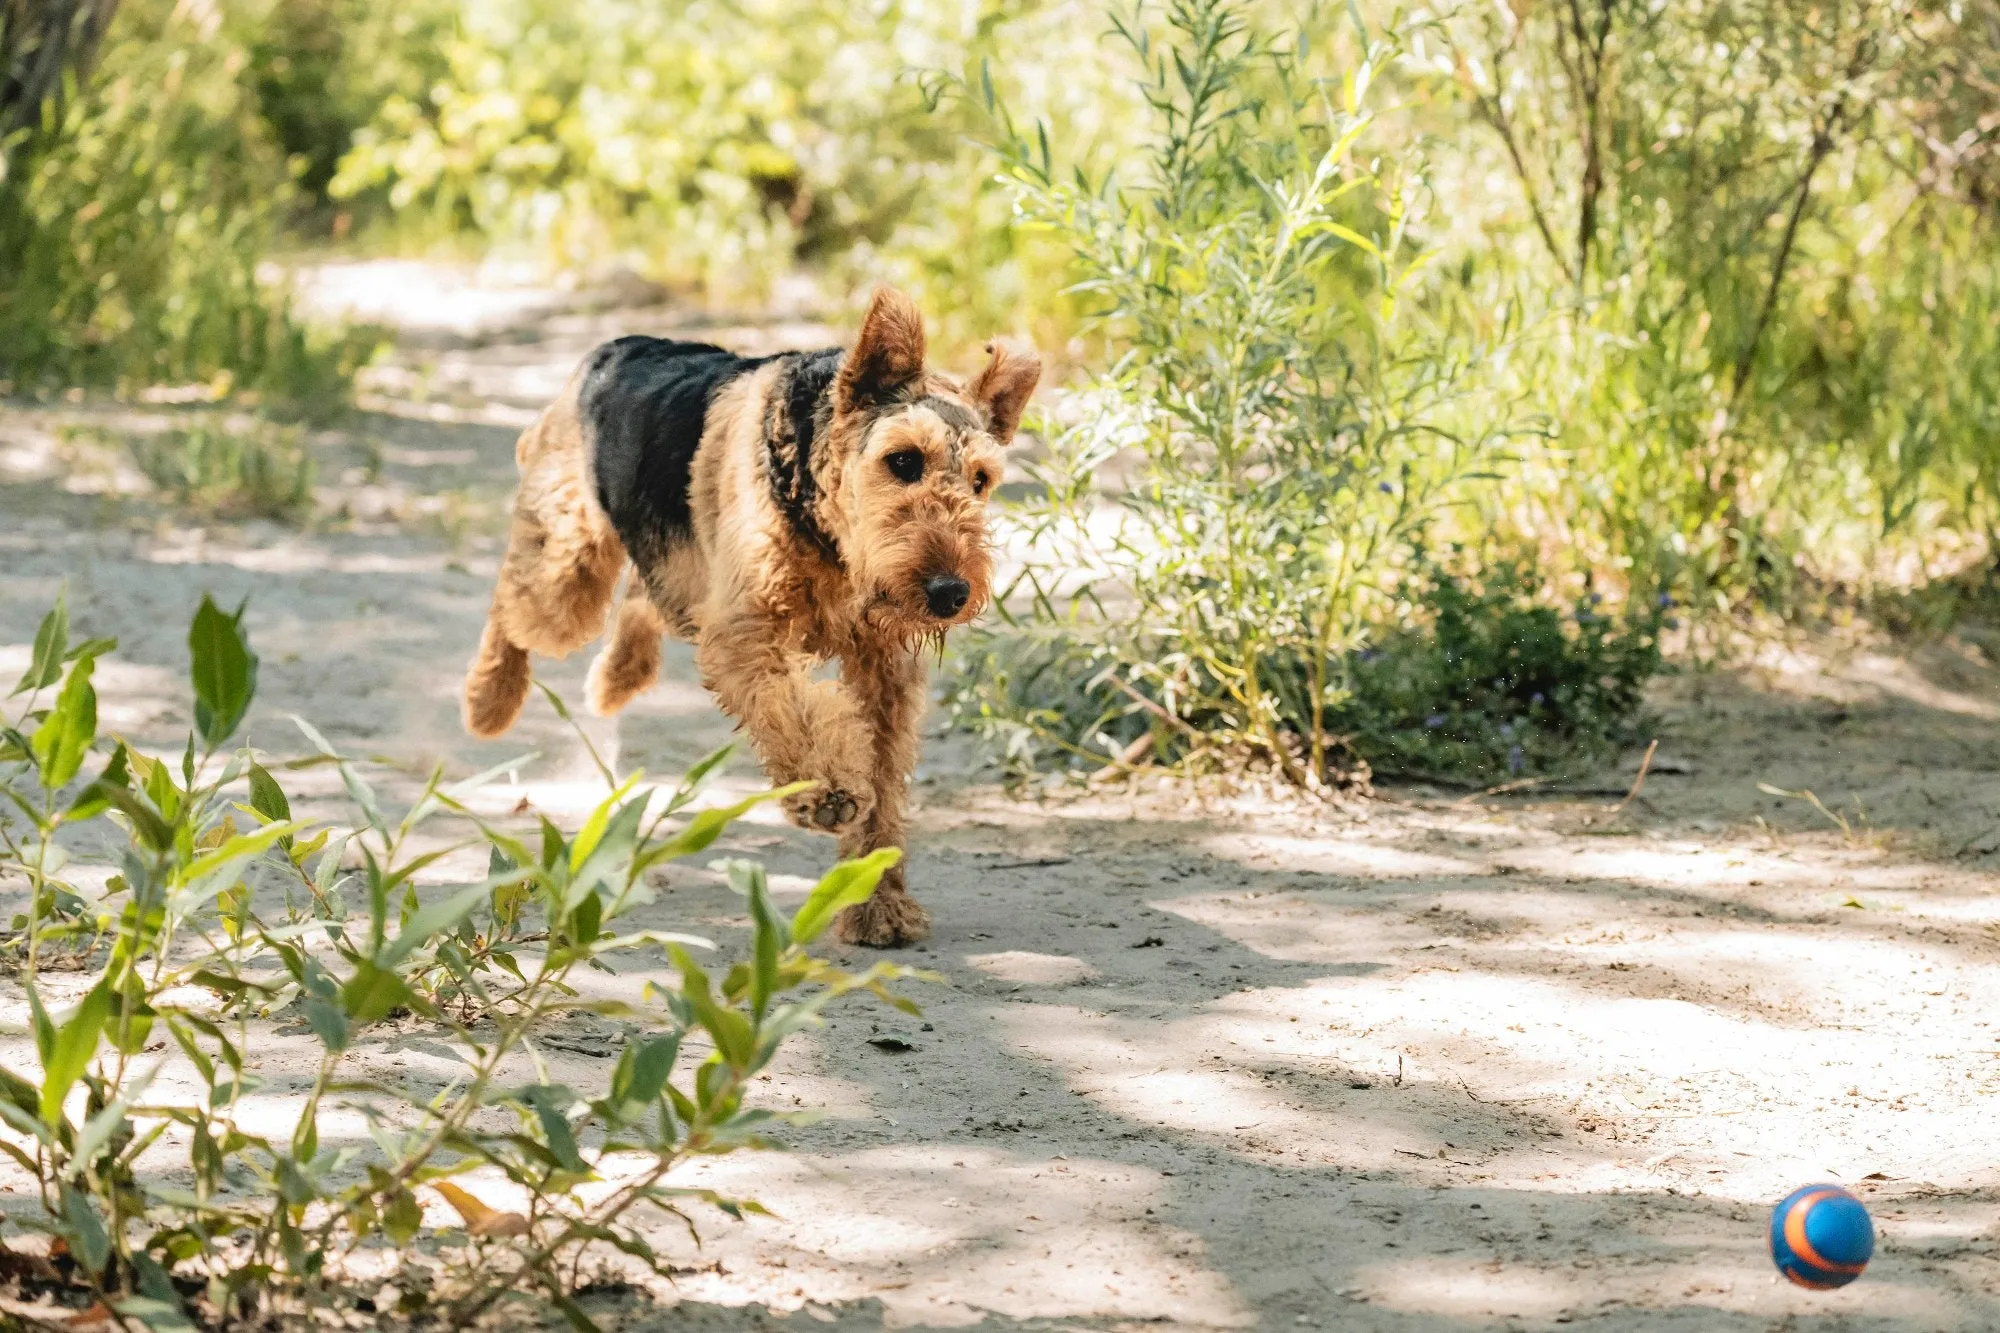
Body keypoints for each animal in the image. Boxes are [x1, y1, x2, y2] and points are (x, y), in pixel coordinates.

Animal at [458, 286, 1040, 940]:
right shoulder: (749, 631)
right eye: (903, 460)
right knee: (512, 606)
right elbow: (793, 712)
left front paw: (876, 904)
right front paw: (829, 793)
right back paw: (489, 701)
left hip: (672, 570)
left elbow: (884, 782)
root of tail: (609, 351)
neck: (829, 533)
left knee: (643, 595)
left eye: (982, 480)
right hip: (567, 569)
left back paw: (616, 678)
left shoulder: (884, 670)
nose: (950, 593)